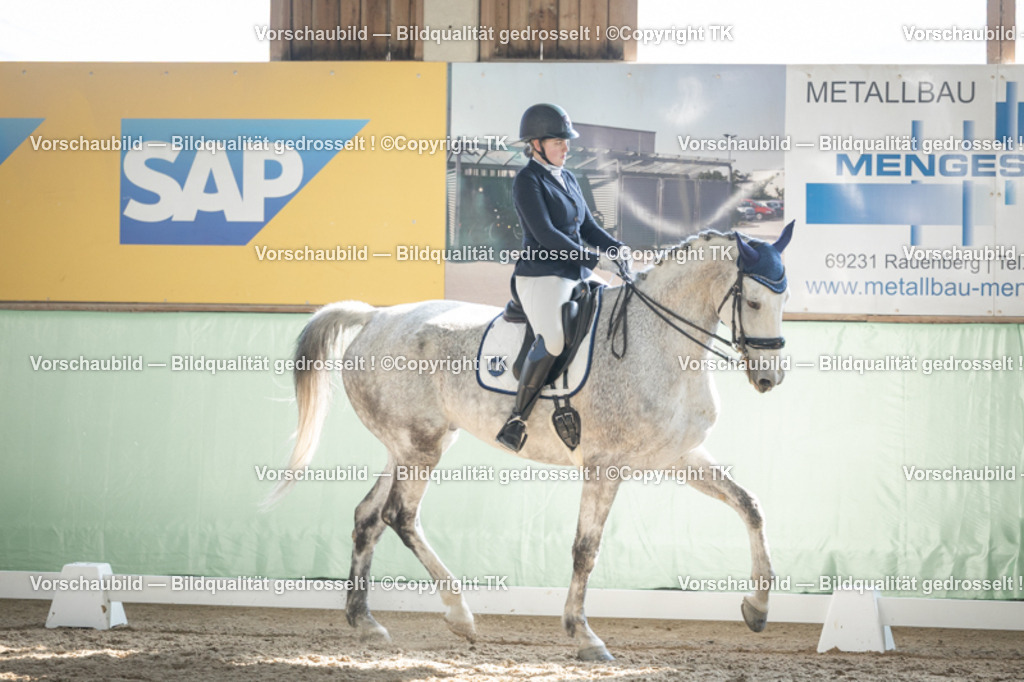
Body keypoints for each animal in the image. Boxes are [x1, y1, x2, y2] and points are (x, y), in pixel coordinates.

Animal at [264, 222, 794, 661]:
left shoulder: (678, 457)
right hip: (421, 447)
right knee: (401, 516)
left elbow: (750, 506)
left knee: (368, 517)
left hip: (406, 446)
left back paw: (366, 623)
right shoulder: (605, 467)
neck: (659, 344)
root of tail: (374, 318)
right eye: (752, 302)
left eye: (783, 301)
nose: (770, 379)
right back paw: (459, 615)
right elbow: (586, 549)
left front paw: (758, 607)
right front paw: (584, 635)